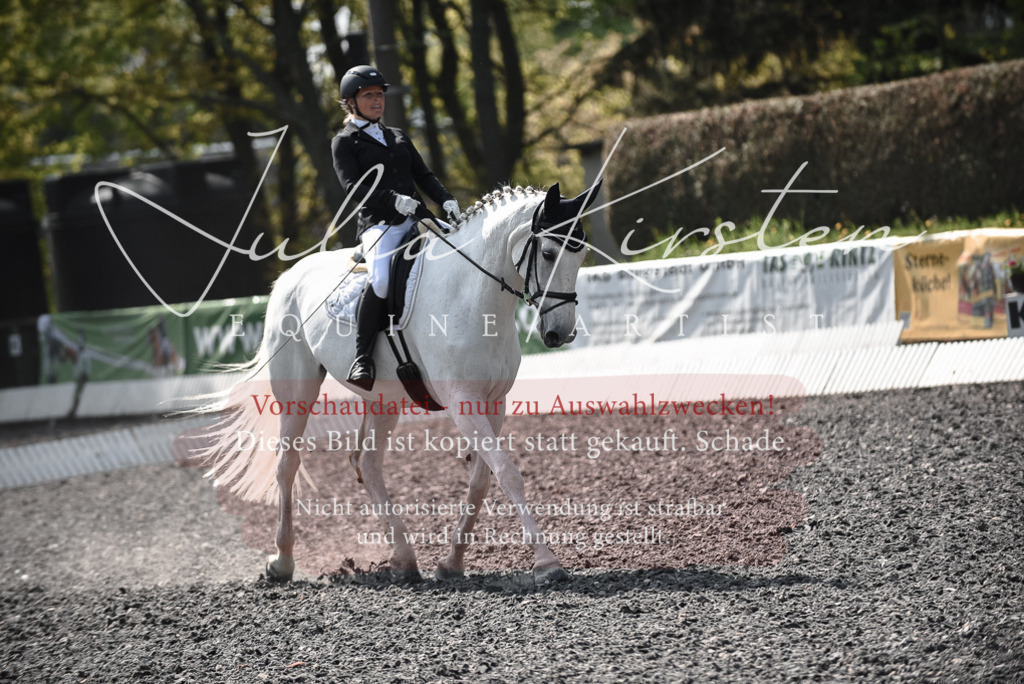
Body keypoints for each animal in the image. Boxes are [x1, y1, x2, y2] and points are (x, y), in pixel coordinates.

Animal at [194, 181, 602, 584]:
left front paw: (451, 563)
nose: (559, 334)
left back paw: (404, 559)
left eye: (580, 255)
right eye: (548, 253)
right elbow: (507, 473)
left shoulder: (494, 401)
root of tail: (289, 277)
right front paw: (546, 562)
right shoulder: (462, 400)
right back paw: (282, 562)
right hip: (297, 390)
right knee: (287, 464)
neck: (471, 297)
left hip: (383, 399)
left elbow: (481, 482)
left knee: (368, 463)